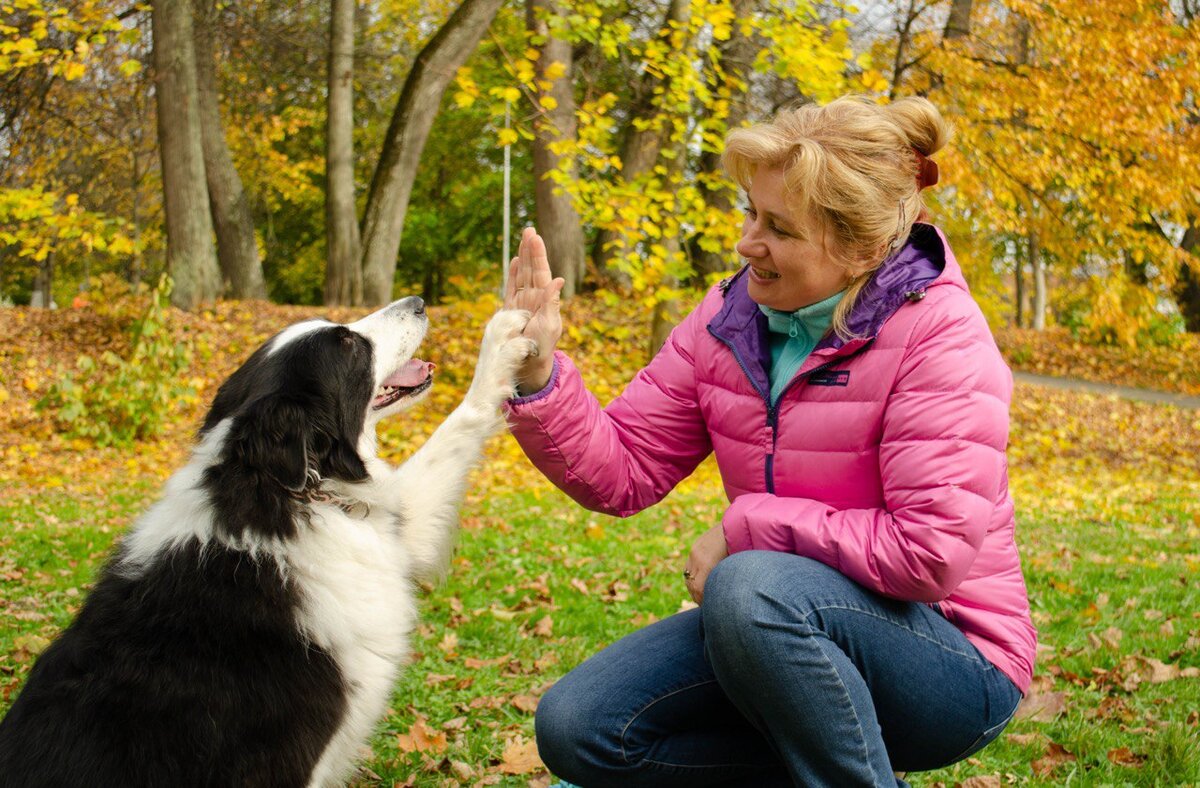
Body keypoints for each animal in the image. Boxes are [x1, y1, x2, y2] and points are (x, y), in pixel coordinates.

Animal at [0, 298, 535, 782]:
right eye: (347, 344)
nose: (419, 301)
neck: (289, 494)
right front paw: (504, 336)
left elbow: (455, 431)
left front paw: (503, 346)